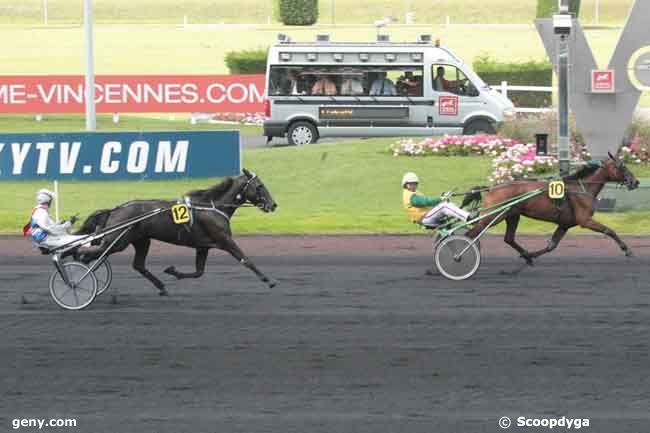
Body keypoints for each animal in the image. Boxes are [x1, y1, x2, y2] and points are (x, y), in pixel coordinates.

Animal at [75, 168, 276, 294]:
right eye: (259, 186)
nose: (273, 205)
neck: (212, 206)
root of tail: (115, 209)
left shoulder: (203, 246)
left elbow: (199, 272)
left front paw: (173, 271)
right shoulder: (224, 239)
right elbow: (245, 259)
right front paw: (269, 280)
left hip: (141, 240)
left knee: (137, 265)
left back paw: (162, 287)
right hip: (118, 241)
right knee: (88, 254)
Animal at [460, 152, 636, 266]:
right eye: (622, 167)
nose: (635, 182)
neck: (582, 188)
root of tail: (491, 188)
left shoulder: (565, 224)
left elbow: (551, 245)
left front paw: (530, 255)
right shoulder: (585, 220)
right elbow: (609, 231)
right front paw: (627, 250)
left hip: (512, 215)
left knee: (508, 238)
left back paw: (526, 256)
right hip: (492, 216)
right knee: (470, 235)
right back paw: (460, 255)